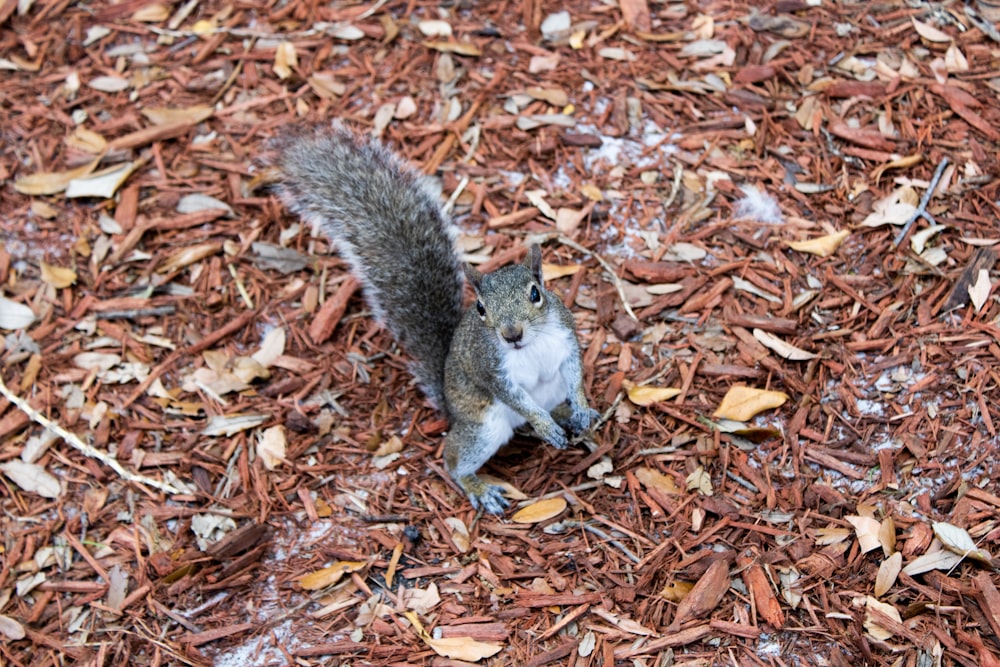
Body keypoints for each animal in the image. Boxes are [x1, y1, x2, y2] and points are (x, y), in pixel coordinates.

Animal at [278, 124, 596, 512]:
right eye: (480, 309)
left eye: (536, 294)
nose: (511, 334)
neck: (531, 346)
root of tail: (449, 404)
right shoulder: (492, 371)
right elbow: (517, 398)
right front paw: (544, 425)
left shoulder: (566, 339)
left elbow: (575, 374)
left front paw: (581, 407)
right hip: (483, 428)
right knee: (457, 458)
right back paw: (482, 484)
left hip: (547, 393)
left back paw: (567, 415)